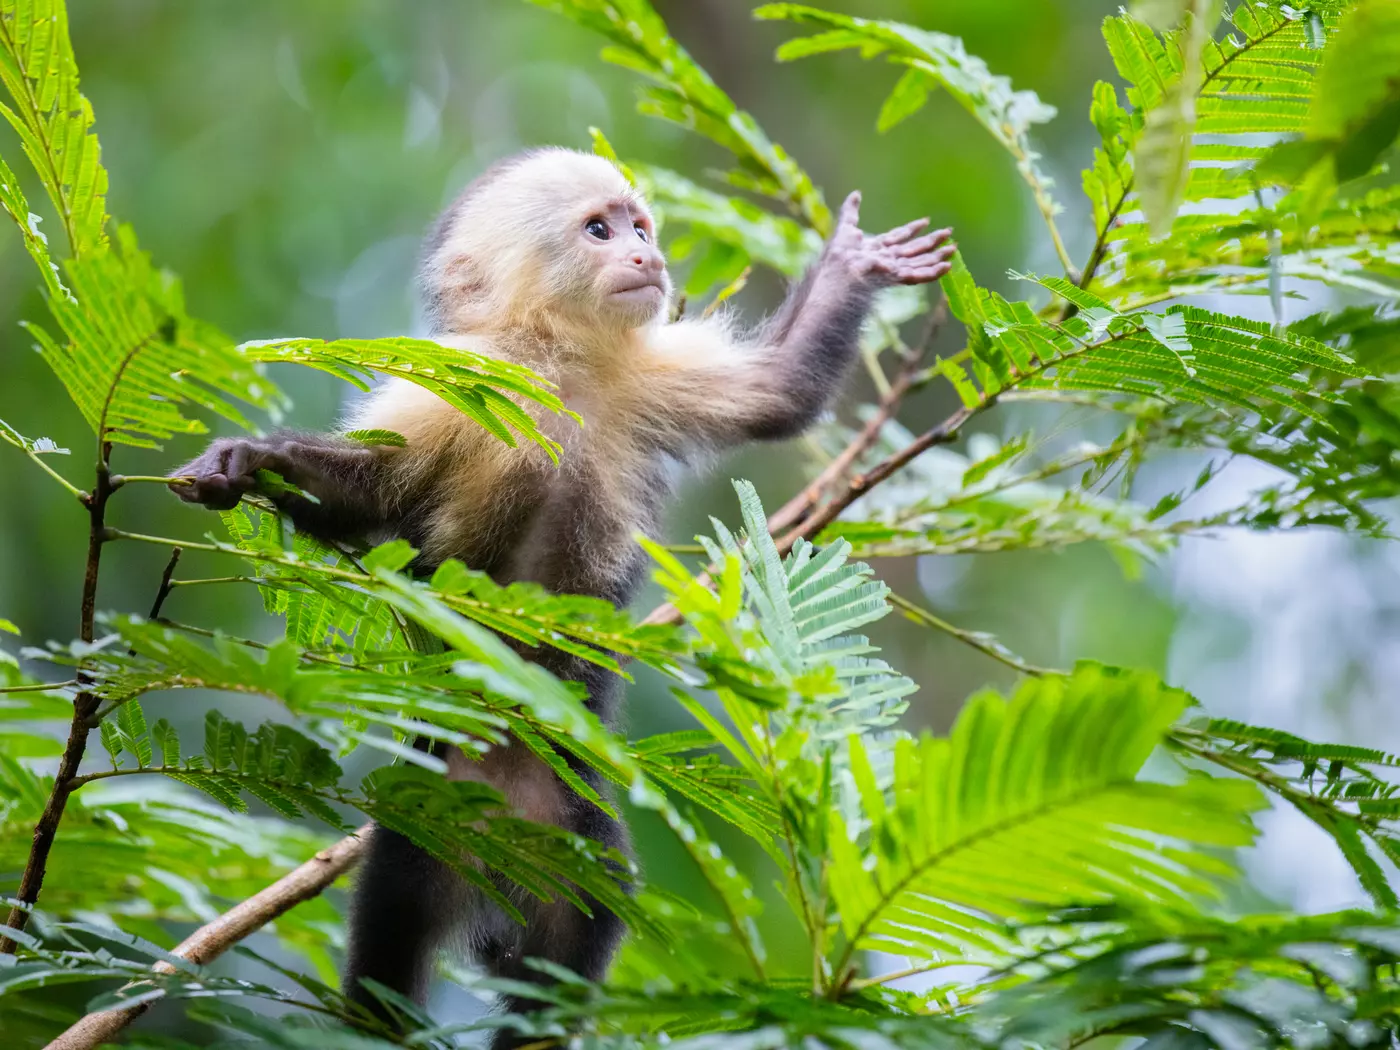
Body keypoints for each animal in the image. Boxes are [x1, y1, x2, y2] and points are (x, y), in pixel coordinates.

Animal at [170, 147, 954, 1042]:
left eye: (640, 226)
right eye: (600, 230)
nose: (647, 256)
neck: (559, 366)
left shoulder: (644, 375)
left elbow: (778, 393)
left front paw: (855, 261)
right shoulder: (459, 387)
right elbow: (367, 498)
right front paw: (252, 463)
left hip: (568, 829)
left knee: (575, 926)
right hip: (427, 815)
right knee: (394, 928)